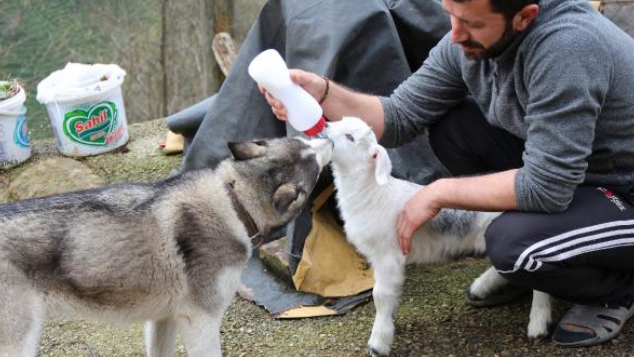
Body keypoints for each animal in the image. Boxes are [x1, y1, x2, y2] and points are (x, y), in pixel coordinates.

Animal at [0, 136, 334, 356]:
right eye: (314, 162)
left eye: (303, 139)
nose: (329, 136)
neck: (233, 202)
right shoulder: (200, 321)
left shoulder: (164, 319)